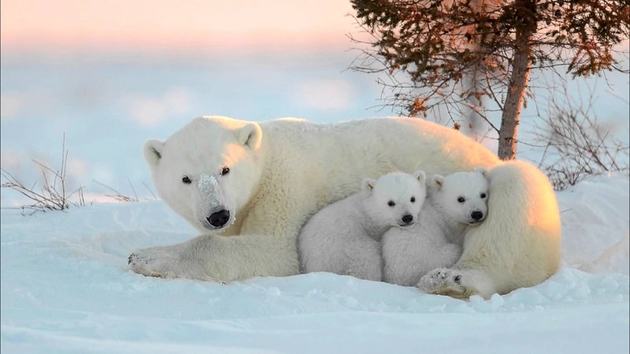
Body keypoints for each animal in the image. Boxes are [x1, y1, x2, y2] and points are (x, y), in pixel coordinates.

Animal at [130, 116, 564, 298]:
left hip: (498, 191)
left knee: (516, 192)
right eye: (186, 178)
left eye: (225, 168)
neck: (267, 153)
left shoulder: (287, 184)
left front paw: (146, 257)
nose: (217, 214)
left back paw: (452, 280)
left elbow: (277, 252)